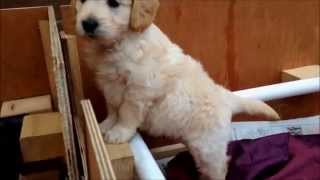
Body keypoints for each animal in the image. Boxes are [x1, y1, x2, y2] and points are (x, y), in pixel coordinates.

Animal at [76, 0, 278, 179]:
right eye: (82, 0)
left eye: (113, 3)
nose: (88, 23)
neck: (118, 42)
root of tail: (226, 97)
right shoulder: (108, 84)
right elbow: (112, 109)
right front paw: (104, 125)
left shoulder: (139, 89)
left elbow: (126, 113)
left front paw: (119, 133)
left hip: (208, 148)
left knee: (219, 168)